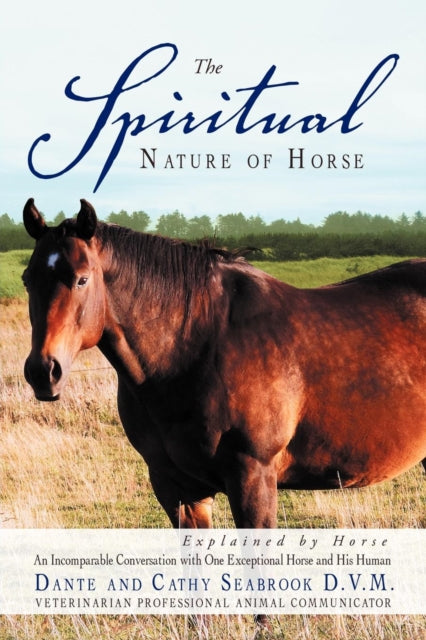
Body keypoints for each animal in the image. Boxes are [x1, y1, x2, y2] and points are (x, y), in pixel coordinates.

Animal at [22, 198, 426, 530]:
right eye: (28, 280)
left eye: (82, 279)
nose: (43, 372)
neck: (193, 347)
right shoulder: (178, 489)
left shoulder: (252, 478)